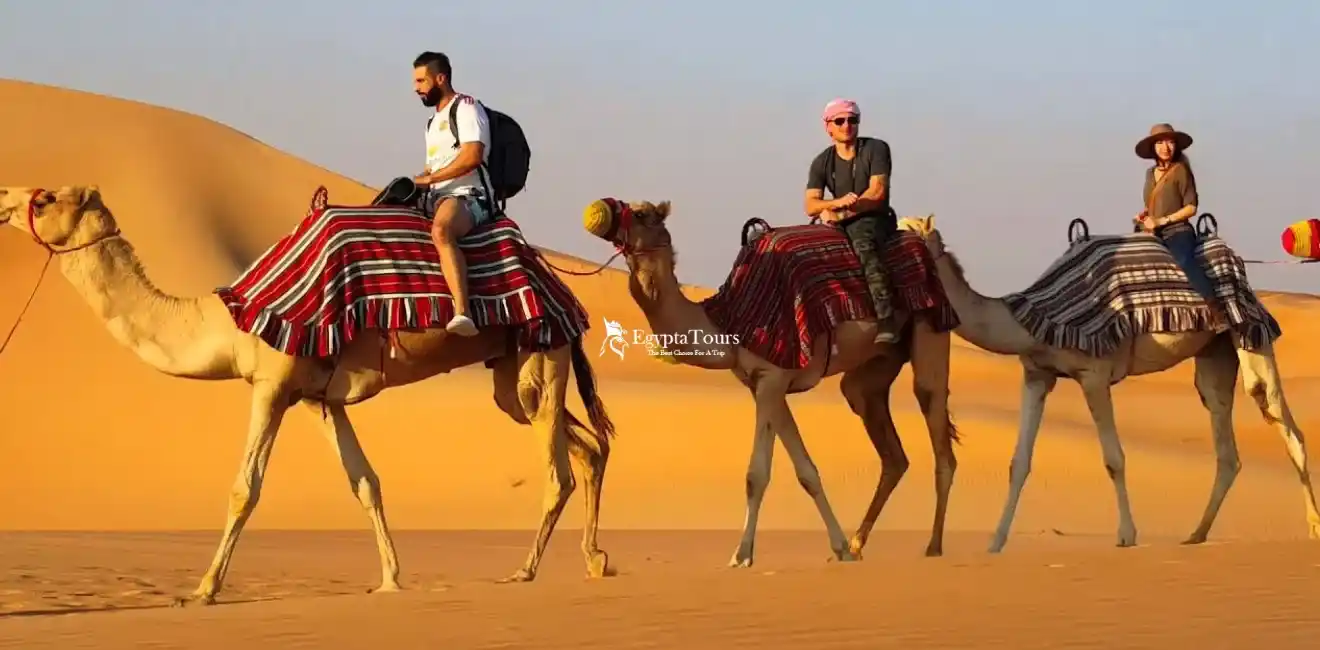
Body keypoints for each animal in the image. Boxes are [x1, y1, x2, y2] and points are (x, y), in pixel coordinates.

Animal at [0, 185, 617, 605]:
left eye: (47, 197)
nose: (5, 197)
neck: (230, 320)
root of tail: (557, 282)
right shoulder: (321, 398)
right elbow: (365, 483)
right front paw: (391, 579)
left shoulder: (272, 384)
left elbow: (244, 489)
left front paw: (203, 589)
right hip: (516, 368)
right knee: (586, 446)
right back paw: (595, 560)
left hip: (542, 352)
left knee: (559, 469)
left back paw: (525, 571)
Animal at [579, 197, 961, 565]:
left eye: (641, 214)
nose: (600, 211)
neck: (728, 323)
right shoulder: (764, 385)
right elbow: (806, 470)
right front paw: (839, 548)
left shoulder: (772, 378)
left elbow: (756, 474)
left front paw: (741, 554)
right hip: (873, 369)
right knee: (890, 447)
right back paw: (859, 543)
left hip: (931, 327)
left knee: (936, 423)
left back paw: (934, 546)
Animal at [897, 213, 1320, 551]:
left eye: (909, 236)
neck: (1032, 318)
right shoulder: (1037, 374)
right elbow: (1019, 462)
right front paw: (995, 542)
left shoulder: (1094, 374)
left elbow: (1114, 459)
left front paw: (1127, 535)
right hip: (1214, 351)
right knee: (1224, 434)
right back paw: (1196, 534)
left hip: (1250, 331)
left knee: (1282, 419)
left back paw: (1313, 527)